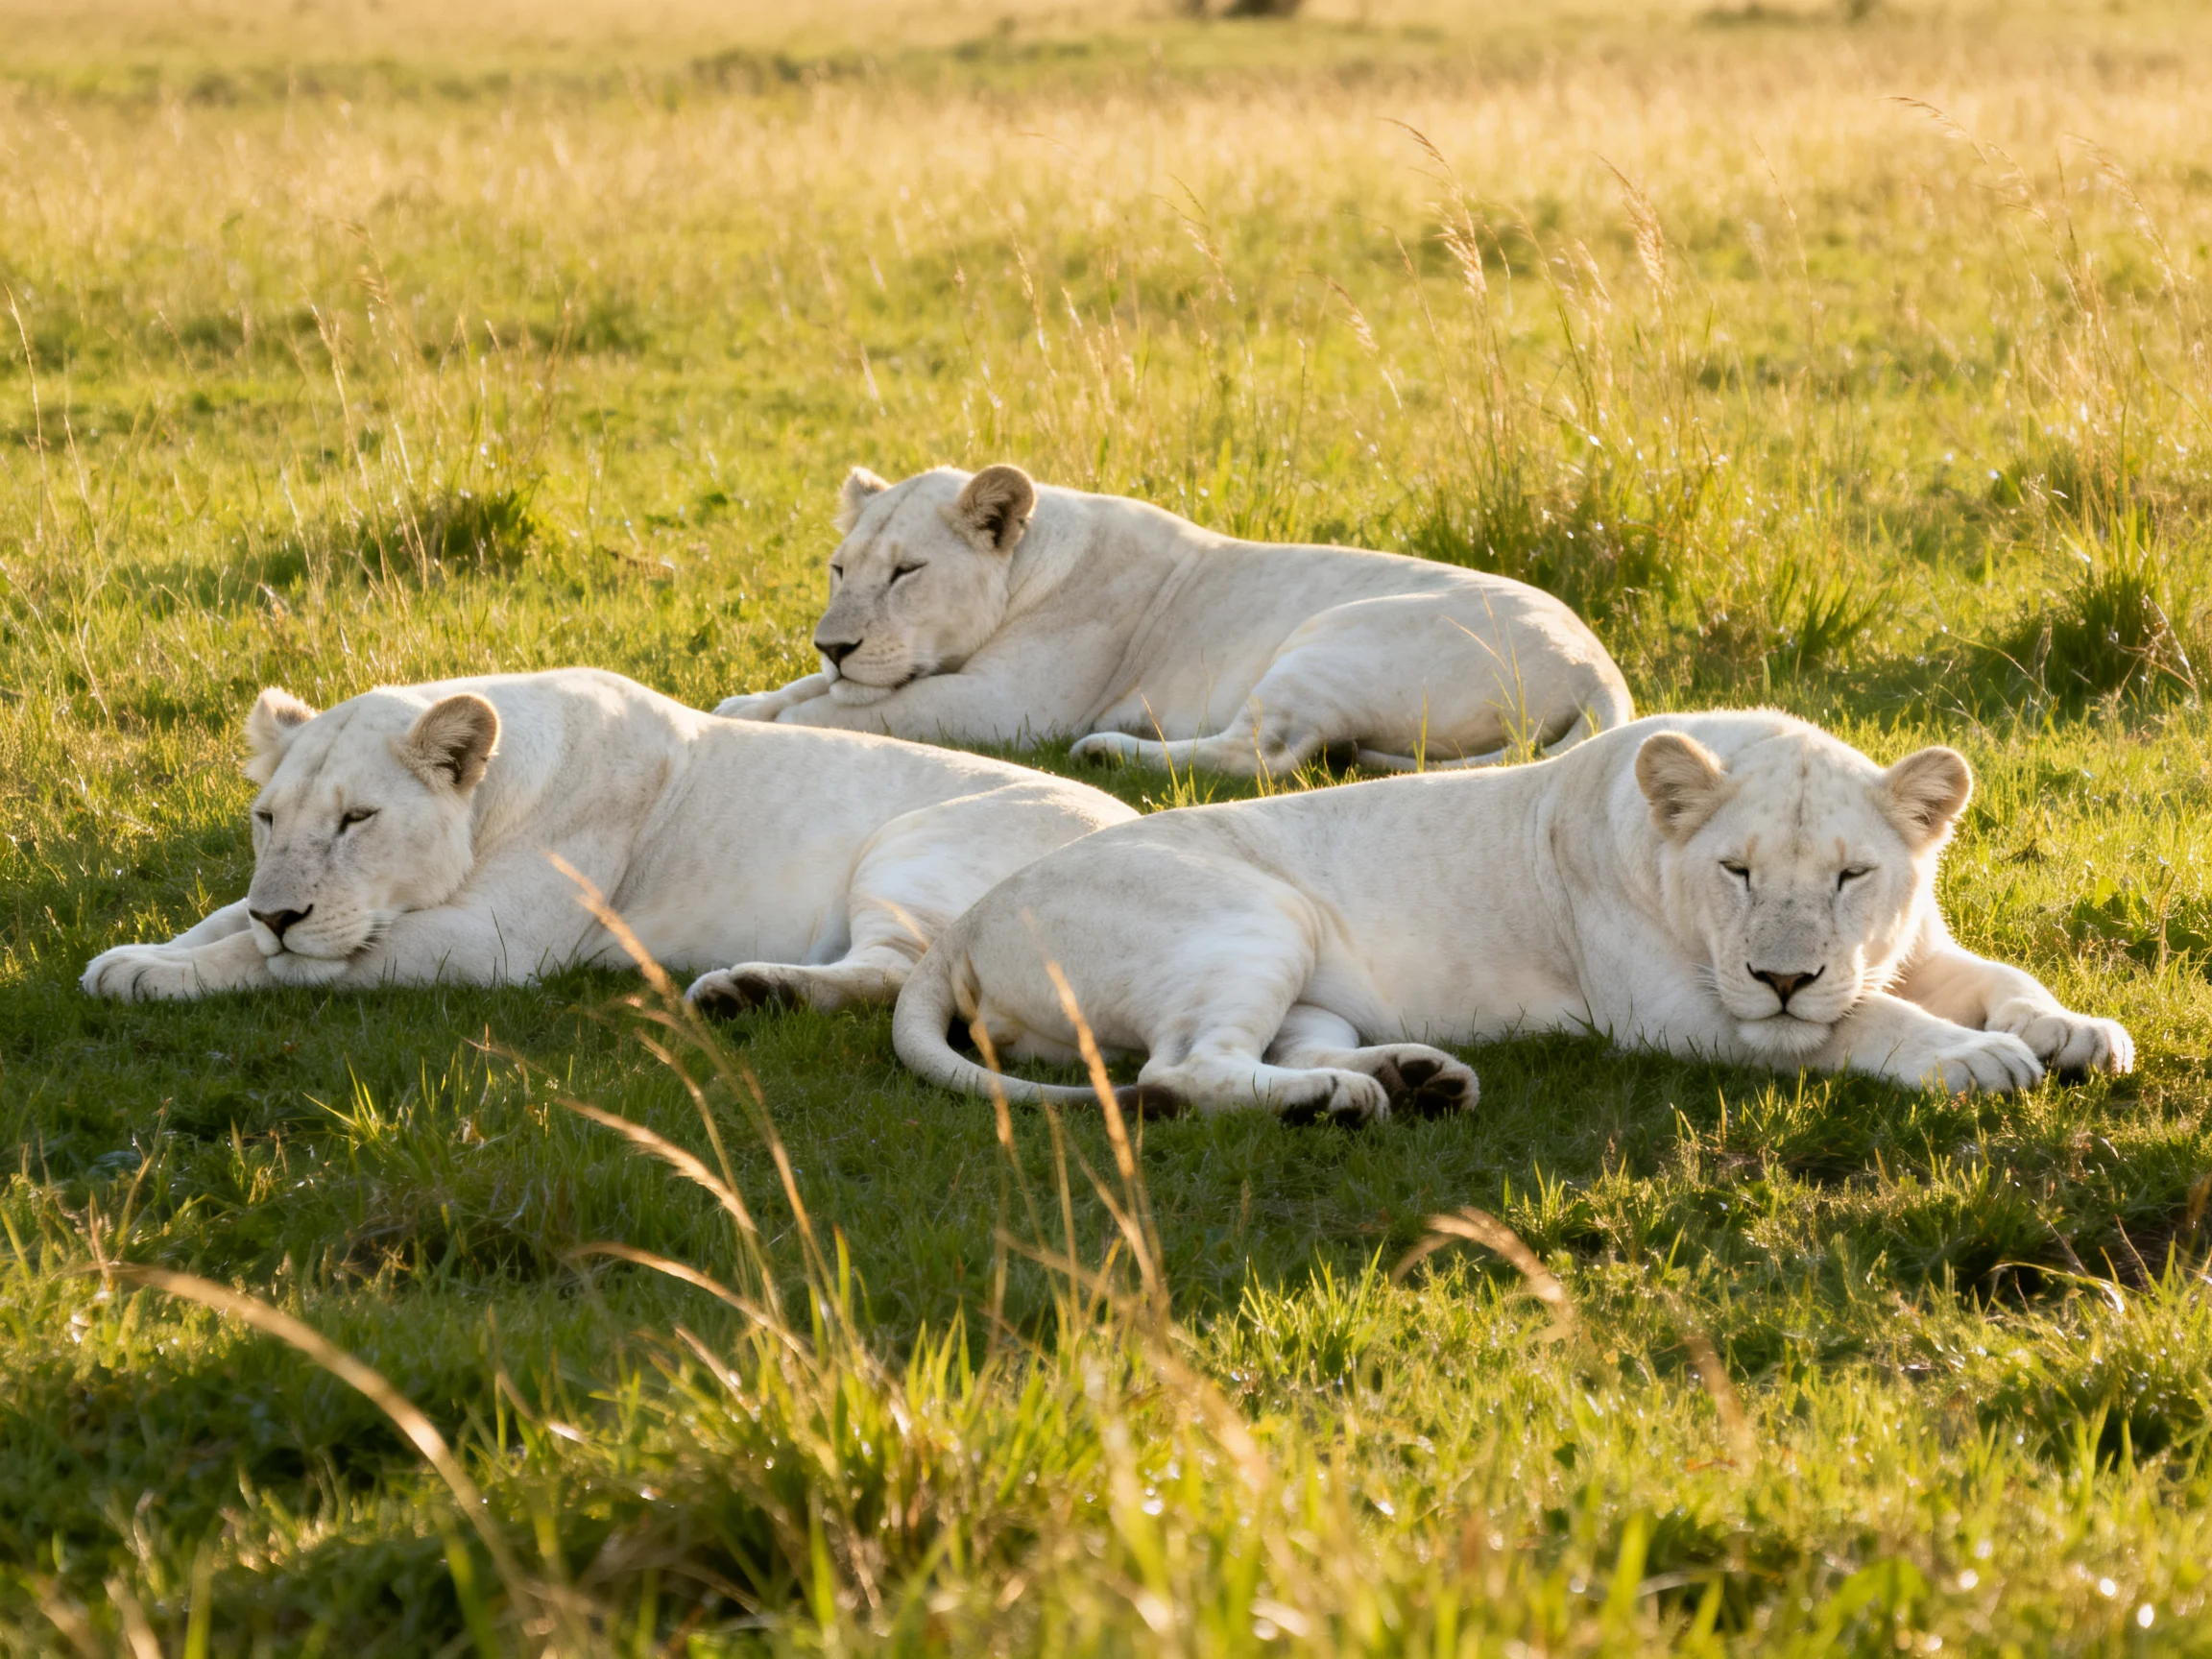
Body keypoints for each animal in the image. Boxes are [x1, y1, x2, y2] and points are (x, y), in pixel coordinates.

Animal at [81, 669, 1132, 1006]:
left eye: (357, 820)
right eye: (268, 819)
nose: (284, 912)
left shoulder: (491, 946)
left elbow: (283, 963)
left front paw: (156, 977)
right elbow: (221, 918)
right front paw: (141, 951)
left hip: (910, 849)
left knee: (893, 972)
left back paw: (748, 992)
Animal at [715, 464, 1633, 777]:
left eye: (907, 572)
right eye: (840, 569)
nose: (833, 644)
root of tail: (1599, 667)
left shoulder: (1009, 707)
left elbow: (867, 709)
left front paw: (781, 719)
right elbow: (813, 692)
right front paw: (748, 703)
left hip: (1331, 637)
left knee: (1269, 753)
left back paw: (1109, 751)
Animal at [892, 710, 2134, 1119]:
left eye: (1849, 877)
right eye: (1736, 872)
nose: (1784, 975)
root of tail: (967, 920)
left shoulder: (1909, 949)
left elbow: (2002, 981)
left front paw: (2074, 1031)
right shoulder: (1682, 1016)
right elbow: (1859, 1025)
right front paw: (1971, 1060)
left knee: (1278, 1046)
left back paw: (1407, 1080)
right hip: (1255, 912)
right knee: (1181, 1071)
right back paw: (1344, 1102)